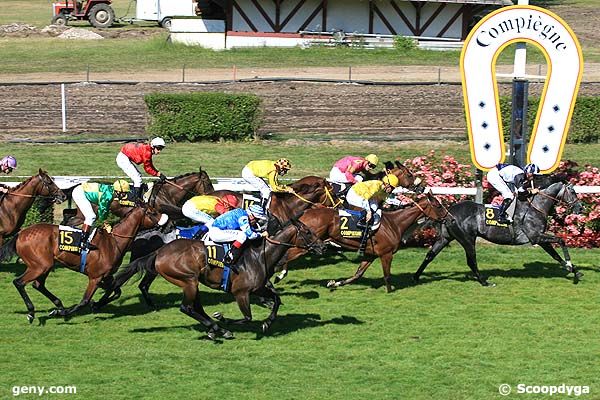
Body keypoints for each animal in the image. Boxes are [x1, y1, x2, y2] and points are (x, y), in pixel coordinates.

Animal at [0, 205, 165, 324]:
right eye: (153, 212)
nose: (167, 221)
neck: (113, 242)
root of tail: (21, 234)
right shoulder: (95, 277)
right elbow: (84, 301)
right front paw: (63, 312)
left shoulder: (106, 276)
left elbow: (116, 291)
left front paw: (96, 304)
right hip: (39, 266)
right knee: (19, 282)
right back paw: (32, 312)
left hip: (46, 265)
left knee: (38, 285)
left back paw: (58, 304)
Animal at [62, 166, 213, 227]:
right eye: (208, 183)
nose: (212, 195)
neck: (168, 192)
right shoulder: (165, 209)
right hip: (86, 213)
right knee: (71, 221)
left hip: (80, 211)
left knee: (67, 213)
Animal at [101, 217, 326, 340]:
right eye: (308, 232)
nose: (323, 247)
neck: (260, 255)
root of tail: (160, 251)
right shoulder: (240, 292)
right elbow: (247, 317)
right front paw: (223, 318)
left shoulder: (259, 288)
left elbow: (277, 300)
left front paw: (267, 323)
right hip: (188, 280)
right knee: (186, 307)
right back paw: (218, 328)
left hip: (192, 283)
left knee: (195, 308)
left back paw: (215, 330)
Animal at [284, 192, 448, 292]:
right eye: (438, 205)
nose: (450, 218)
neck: (395, 223)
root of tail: (306, 213)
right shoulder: (386, 254)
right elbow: (387, 275)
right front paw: (389, 291)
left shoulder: (371, 255)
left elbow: (357, 274)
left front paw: (334, 283)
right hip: (307, 245)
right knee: (287, 255)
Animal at [412, 180, 580, 286]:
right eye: (572, 191)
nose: (580, 207)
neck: (536, 207)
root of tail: (449, 211)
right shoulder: (536, 237)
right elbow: (561, 240)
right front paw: (570, 266)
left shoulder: (539, 239)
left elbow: (555, 255)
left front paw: (574, 270)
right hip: (468, 239)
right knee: (471, 261)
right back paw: (484, 281)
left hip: (445, 238)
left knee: (430, 255)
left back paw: (416, 276)